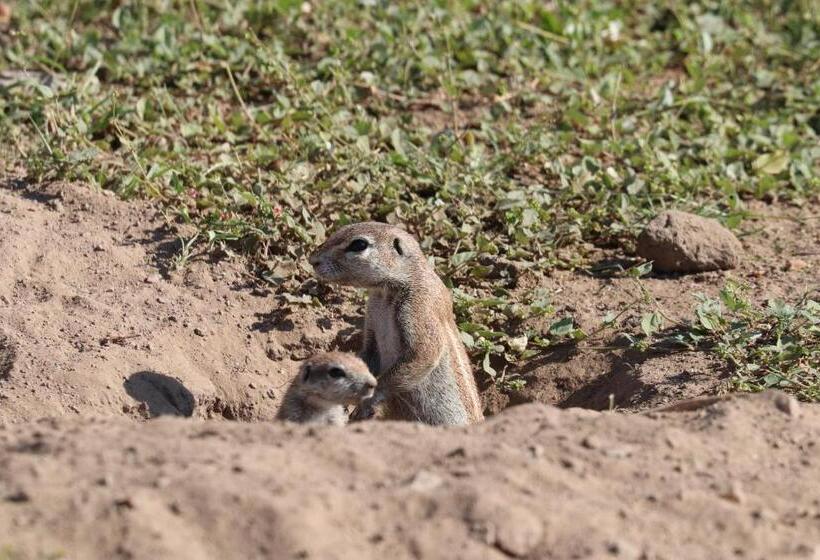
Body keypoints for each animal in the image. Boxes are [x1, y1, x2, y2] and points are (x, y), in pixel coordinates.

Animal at [310, 222, 486, 424]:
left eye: (359, 244)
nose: (312, 259)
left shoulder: (420, 308)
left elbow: (423, 354)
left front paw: (366, 402)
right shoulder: (372, 319)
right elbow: (367, 355)